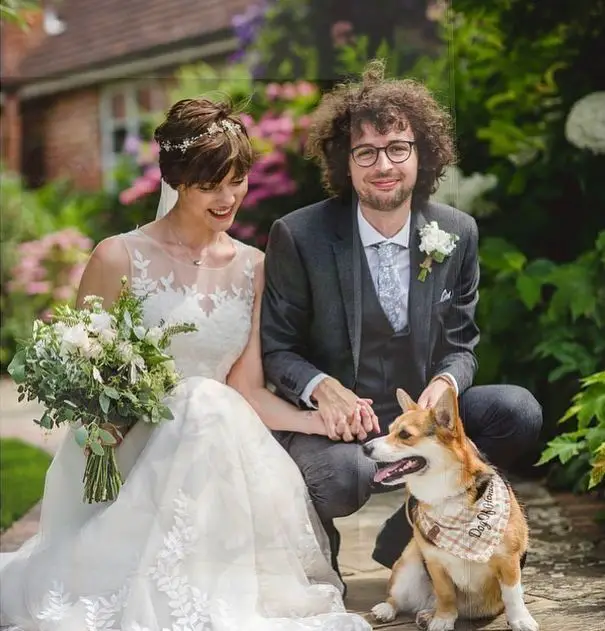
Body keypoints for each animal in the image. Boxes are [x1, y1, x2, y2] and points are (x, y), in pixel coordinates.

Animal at [360, 386, 536, 631]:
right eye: (389, 431)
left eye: (404, 435)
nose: (364, 447)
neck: (446, 495)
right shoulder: (436, 564)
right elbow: (445, 594)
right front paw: (442, 620)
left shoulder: (508, 561)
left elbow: (513, 595)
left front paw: (521, 620)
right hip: (409, 565)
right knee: (399, 598)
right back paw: (391, 610)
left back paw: (426, 614)